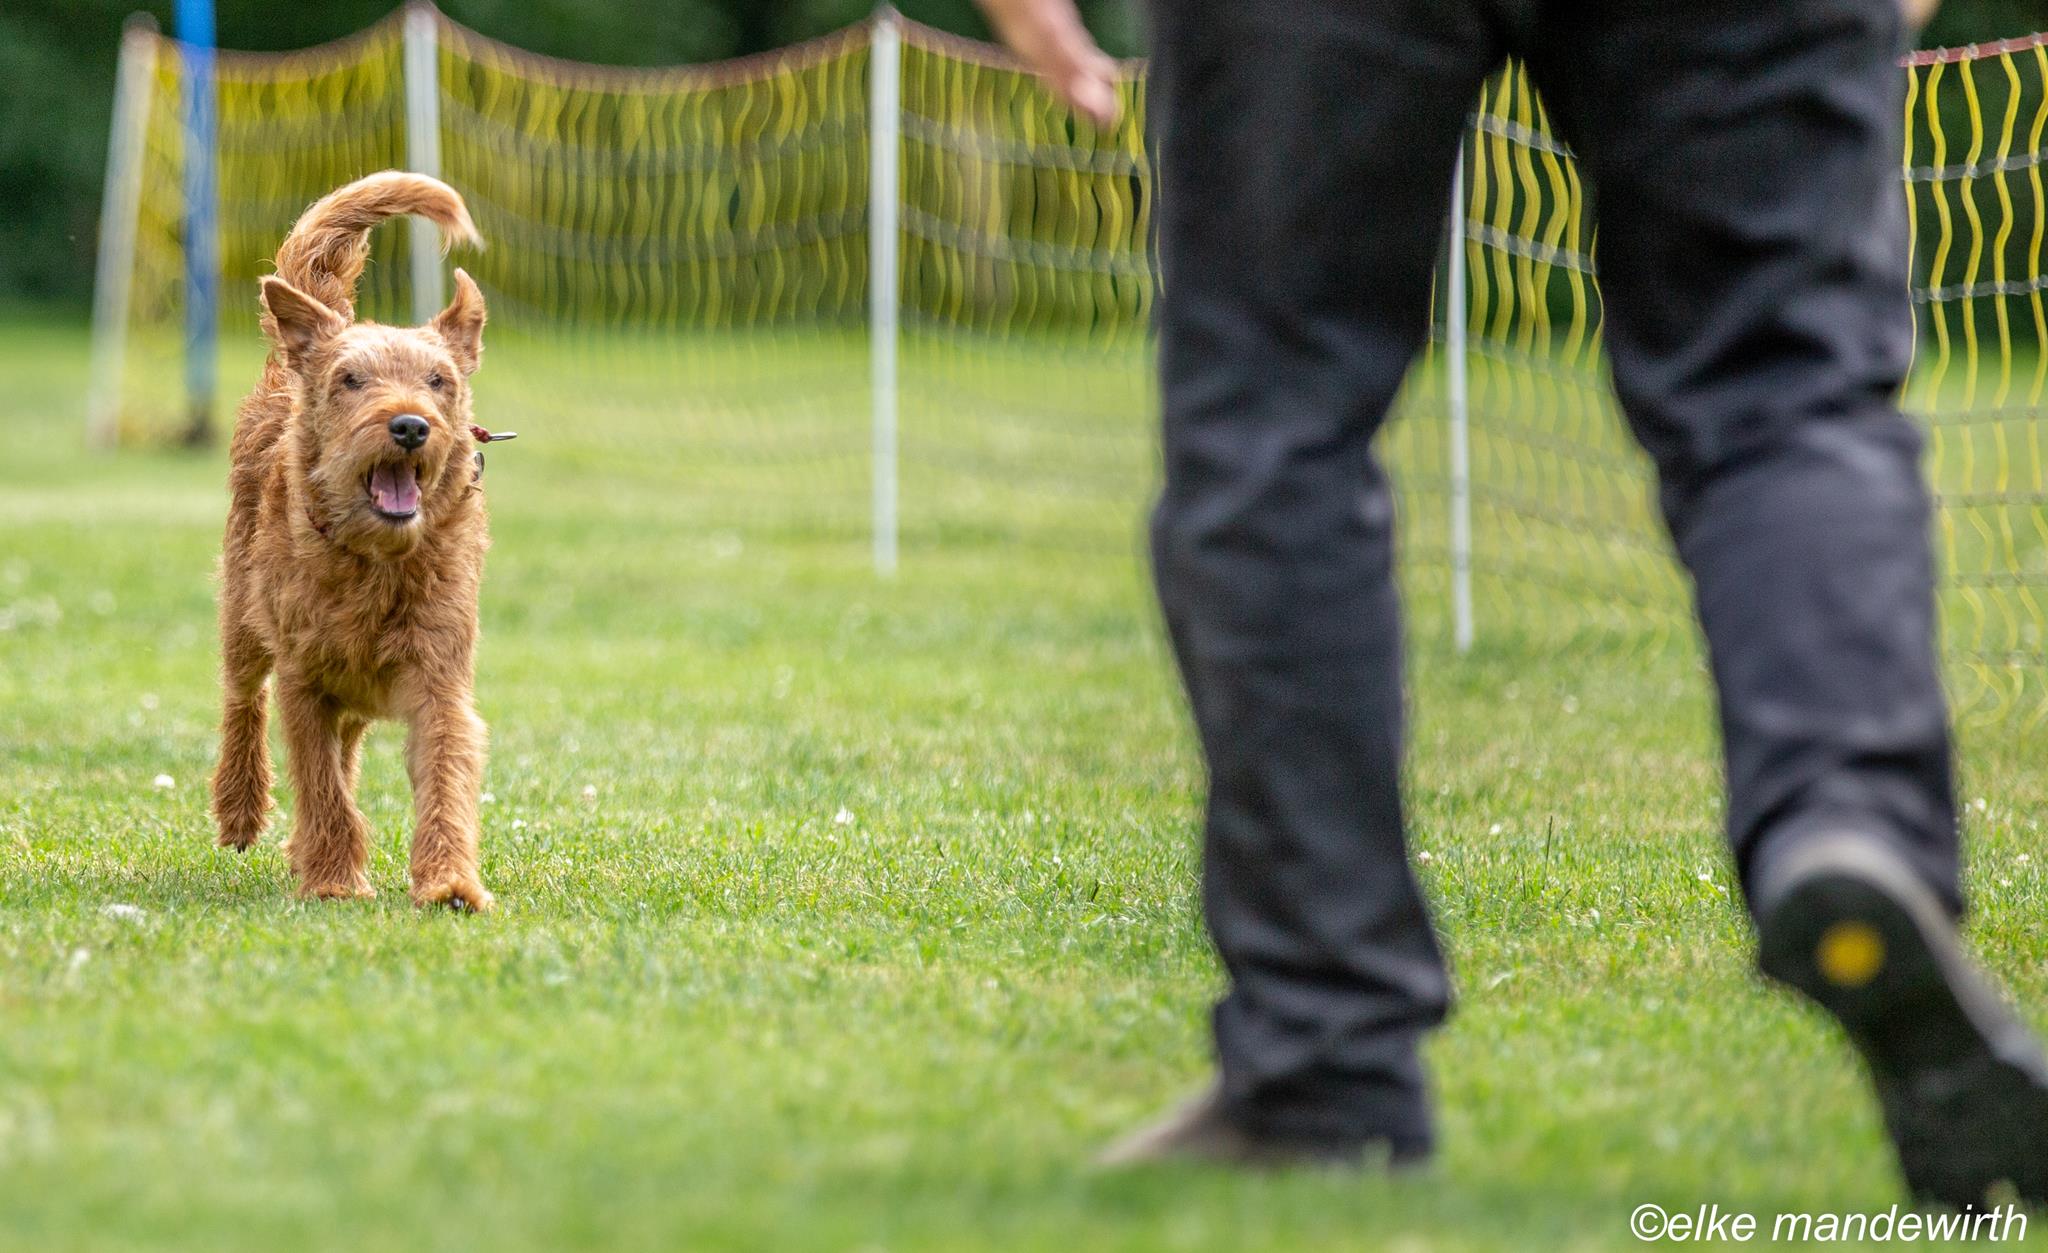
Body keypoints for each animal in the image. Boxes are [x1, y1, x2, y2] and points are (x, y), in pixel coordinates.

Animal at [209, 171, 497, 911]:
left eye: (438, 381)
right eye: (350, 380)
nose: (409, 426)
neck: (376, 563)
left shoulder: (438, 676)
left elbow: (445, 772)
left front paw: (450, 881)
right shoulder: (304, 680)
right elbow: (320, 782)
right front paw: (335, 878)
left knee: (347, 742)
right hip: (242, 615)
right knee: (242, 700)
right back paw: (240, 807)